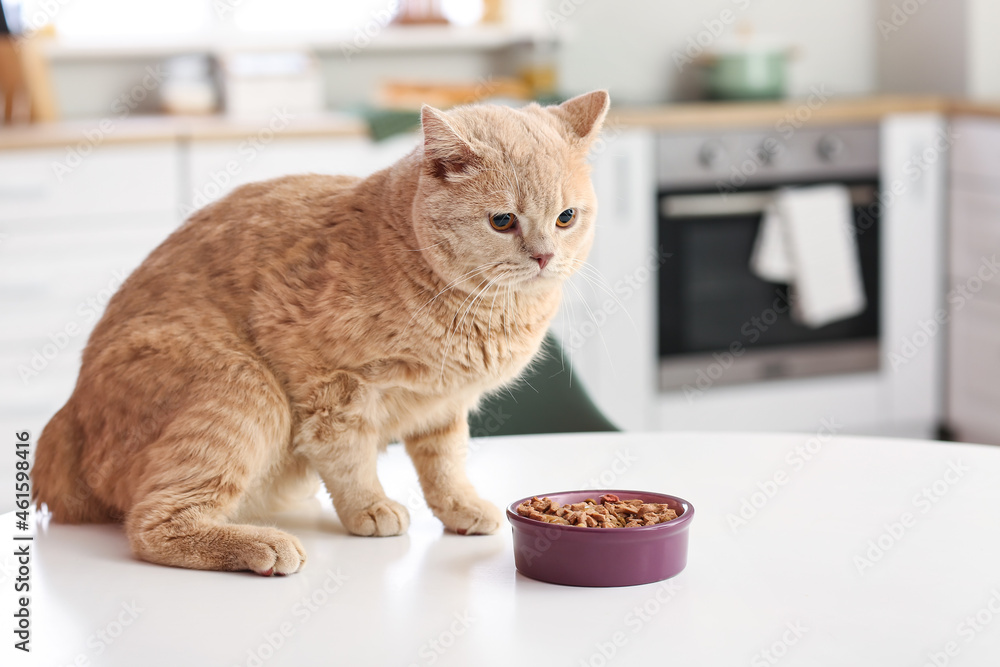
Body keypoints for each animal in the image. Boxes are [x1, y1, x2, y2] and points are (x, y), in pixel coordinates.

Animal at [31, 91, 608, 576]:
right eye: (503, 221)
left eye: (566, 218)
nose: (543, 256)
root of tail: (65, 421)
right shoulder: (329, 384)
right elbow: (348, 457)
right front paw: (370, 508)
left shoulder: (442, 406)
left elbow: (444, 465)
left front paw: (460, 507)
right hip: (245, 389)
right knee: (152, 523)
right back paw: (262, 544)